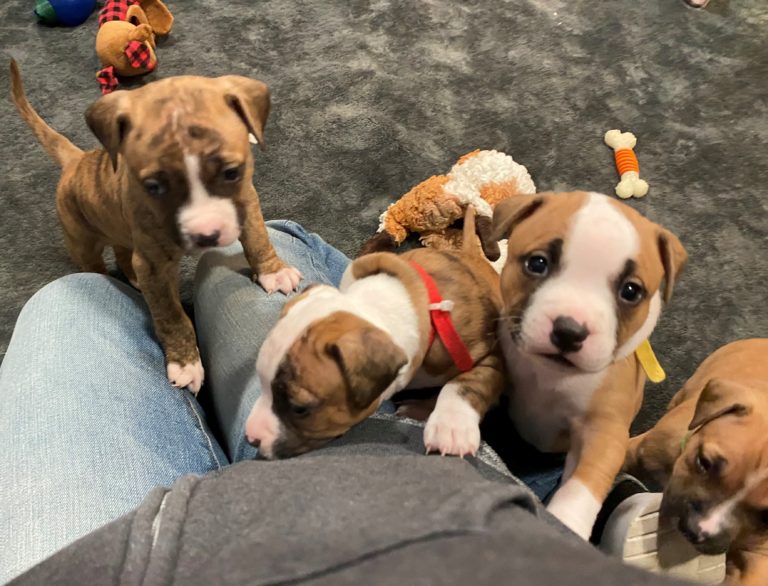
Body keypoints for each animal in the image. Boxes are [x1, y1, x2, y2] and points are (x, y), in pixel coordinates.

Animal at [9, 60, 301, 394]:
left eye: (231, 172)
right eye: (154, 187)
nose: (207, 235)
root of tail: (76, 161)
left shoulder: (247, 200)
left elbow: (257, 237)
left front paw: (273, 271)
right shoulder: (154, 265)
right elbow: (171, 316)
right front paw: (186, 363)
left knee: (122, 251)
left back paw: (133, 278)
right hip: (82, 241)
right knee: (97, 264)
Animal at [491, 191, 687, 539]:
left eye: (631, 291)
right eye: (537, 263)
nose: (569, 331)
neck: (551, 377)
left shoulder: (604, 432)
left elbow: (582, 484)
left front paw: (566, 522)